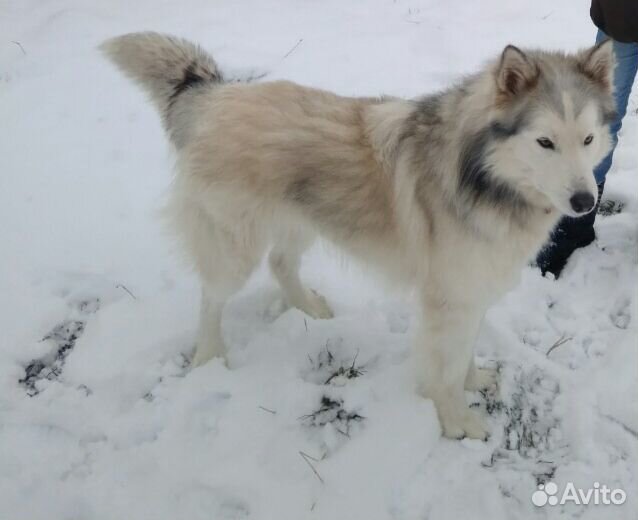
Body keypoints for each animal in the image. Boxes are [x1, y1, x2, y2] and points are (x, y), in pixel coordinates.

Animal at [102, 32, 616, 438]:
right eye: (545, 142)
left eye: (588, 140)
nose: (584, 203)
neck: (485, 178)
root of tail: (216, 95)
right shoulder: (449, 301)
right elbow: (446, 369)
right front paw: (458, 423)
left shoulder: (470, 295)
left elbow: (463, 354)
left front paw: (473, 384)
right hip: (236, 246)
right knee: (212, 296)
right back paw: (209, 356)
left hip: (302, 220)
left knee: (281, 264)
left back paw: (309, 308)